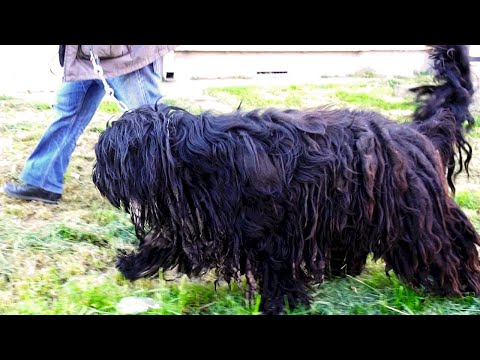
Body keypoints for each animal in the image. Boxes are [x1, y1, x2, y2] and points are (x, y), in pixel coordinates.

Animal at [92, 45, 480, 316]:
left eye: (105, 157)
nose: (96, 177)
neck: (186, 153)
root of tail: (418, 133)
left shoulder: (270, 228)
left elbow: (276, 269)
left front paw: (280, 304)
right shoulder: (203, 218)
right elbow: (164, 241)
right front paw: (132, 265)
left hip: (417, 215)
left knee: (450, 245)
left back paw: (464, 285)